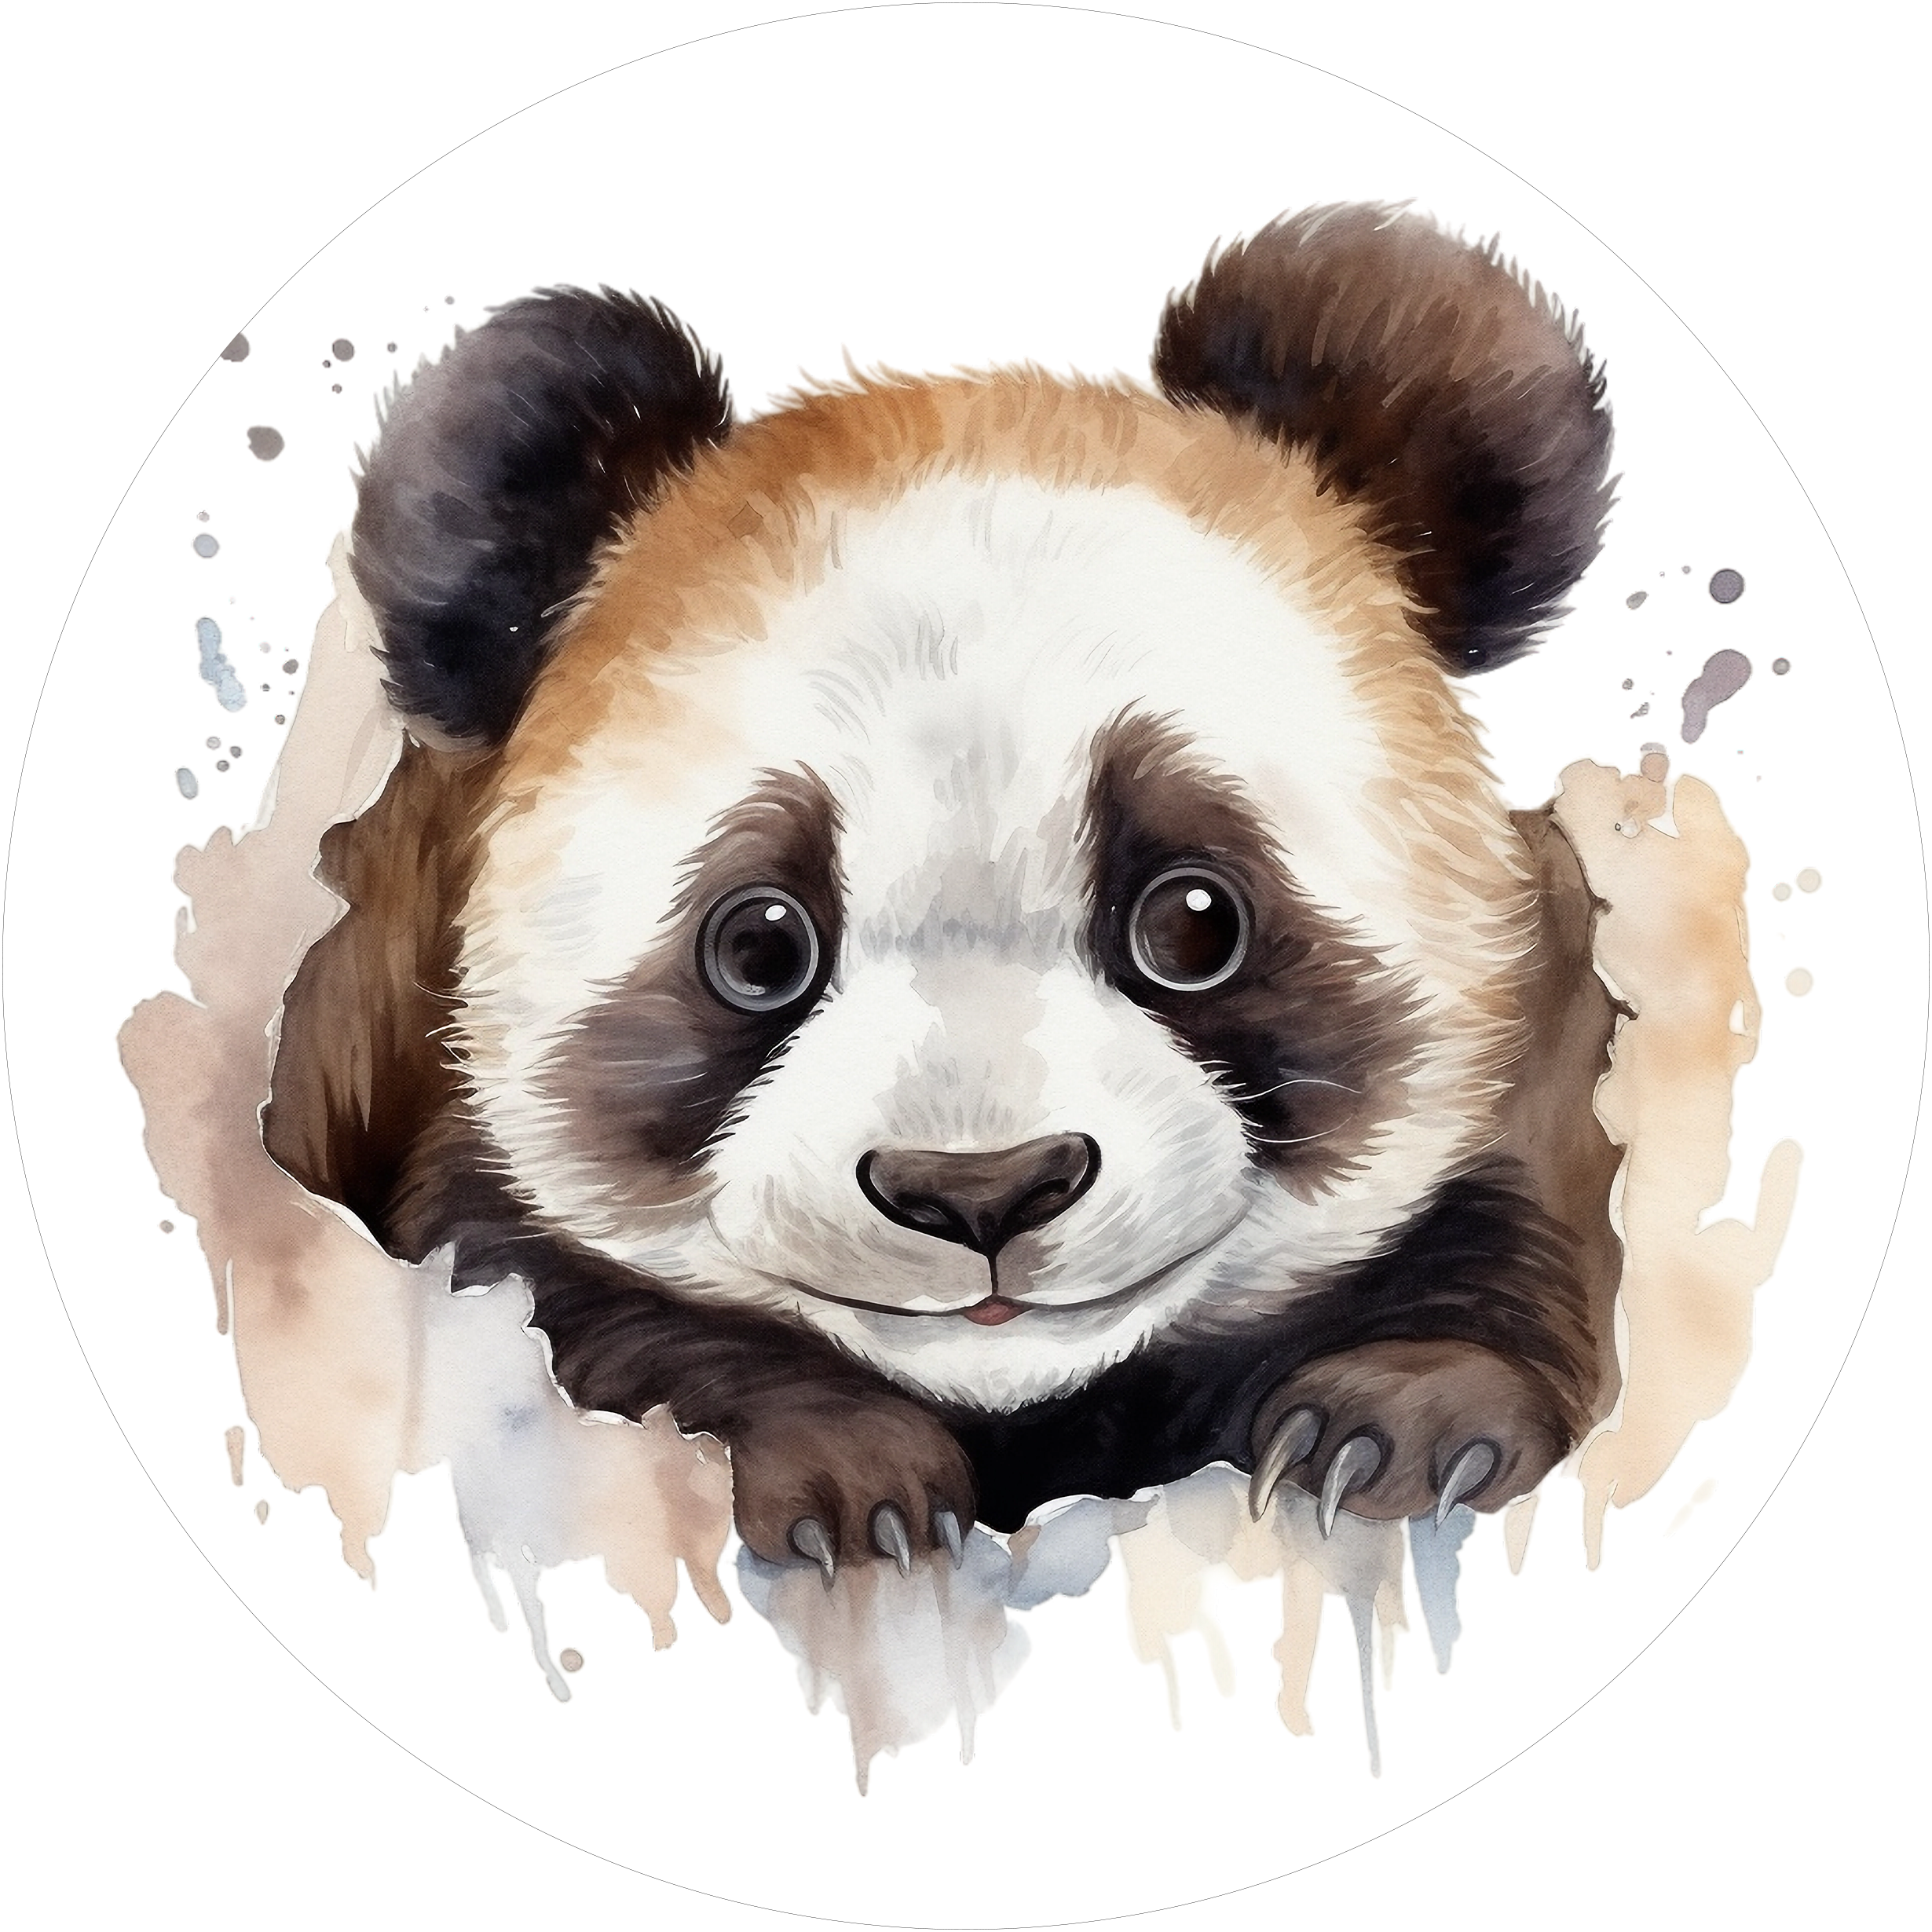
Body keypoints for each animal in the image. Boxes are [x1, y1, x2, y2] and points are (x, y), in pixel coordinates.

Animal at [265, 203, 1625, 1582]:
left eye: (1195, 919)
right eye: (760, 946)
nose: (982, 1190)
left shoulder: (1542, 1066)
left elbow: (1512, 1234)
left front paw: (1393, 1424)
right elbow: (575, 1308)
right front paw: (849, 1473)